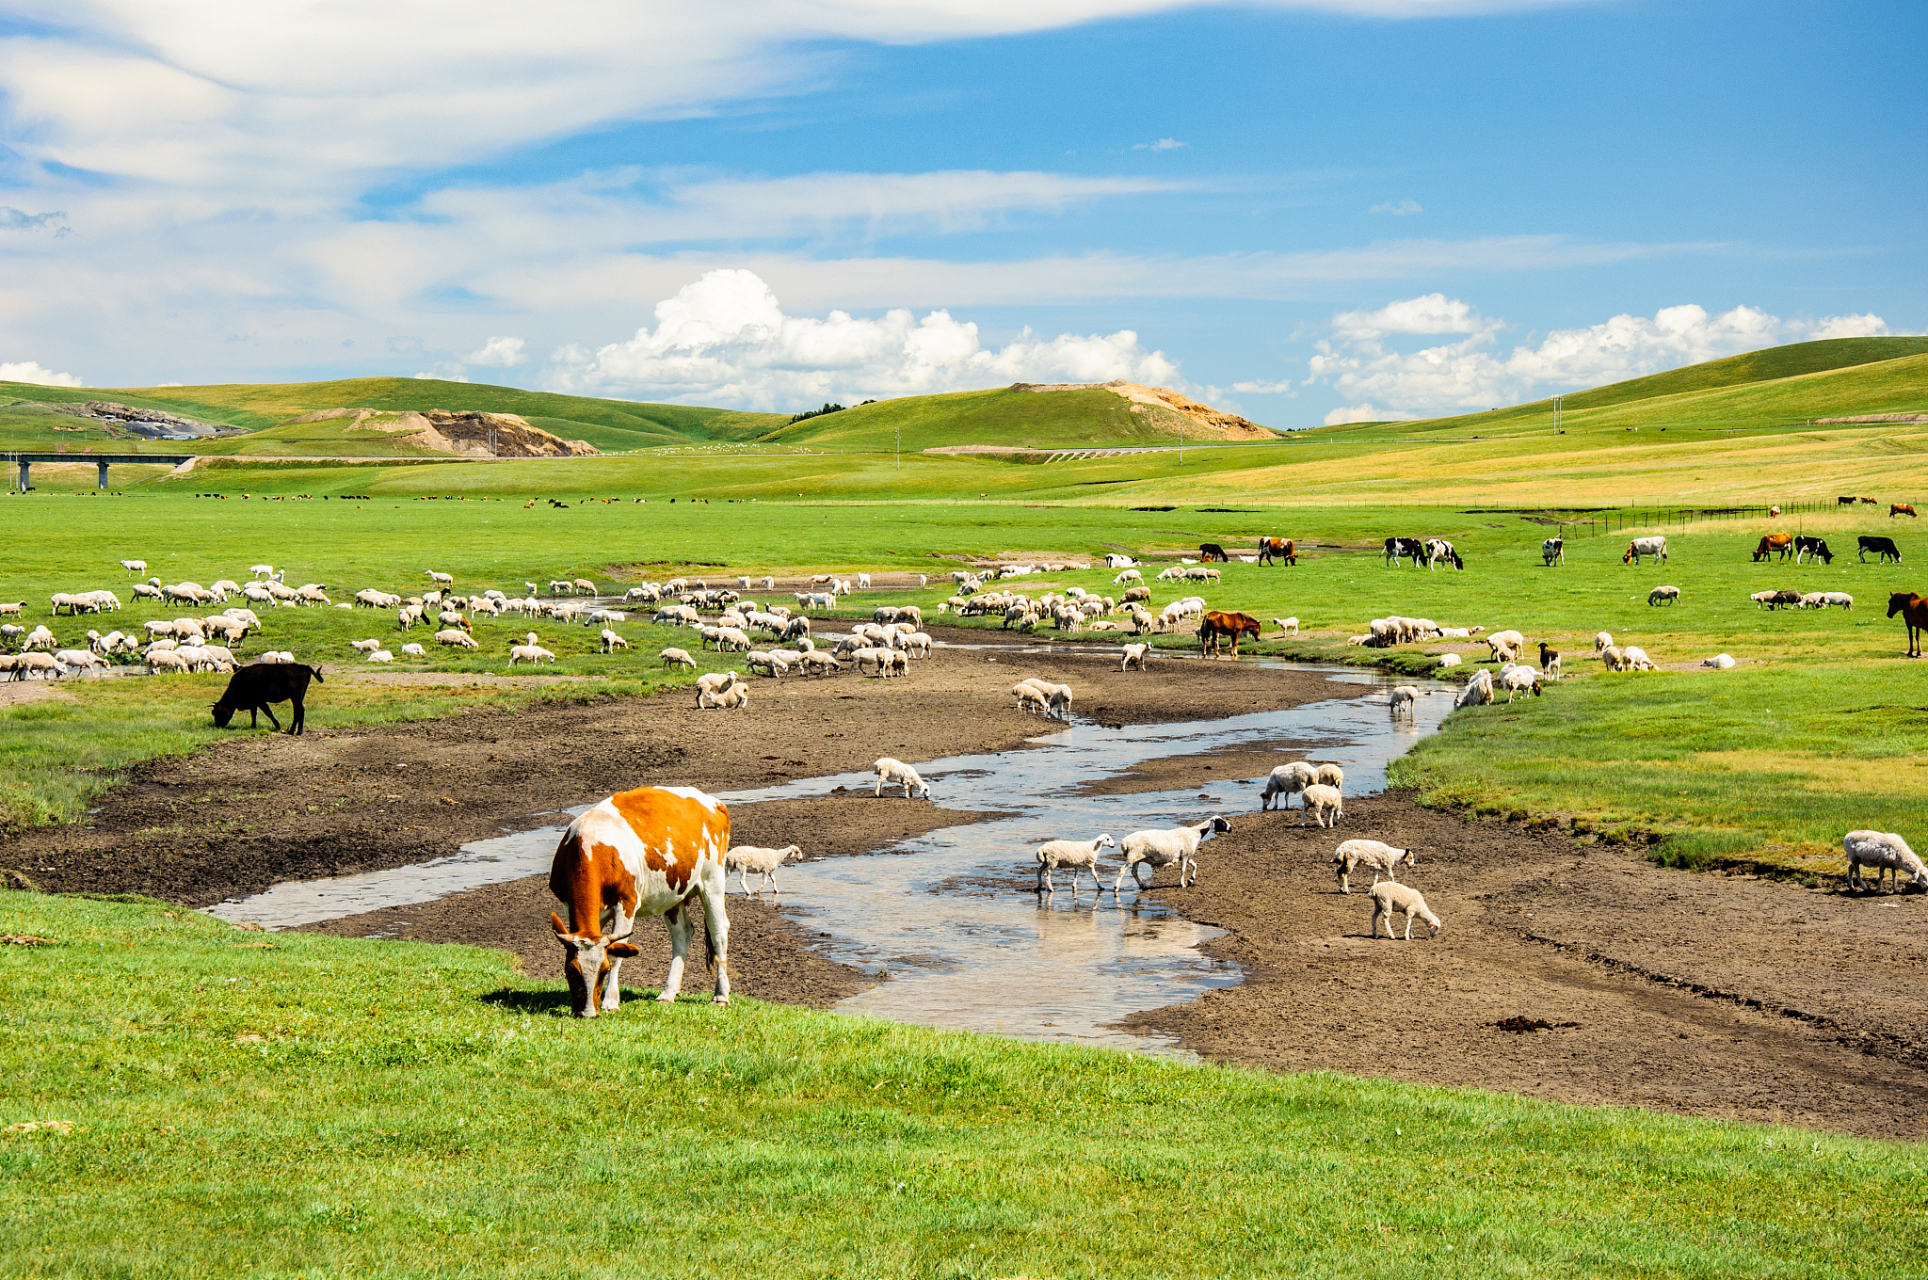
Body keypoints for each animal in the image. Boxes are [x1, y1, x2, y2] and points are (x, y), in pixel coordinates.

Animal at [551, 786, 728, 1017]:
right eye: (571, 971)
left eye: (604, 971)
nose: (589, 1012)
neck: (589, 844)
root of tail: (713, 801)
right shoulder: (570, 906)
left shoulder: (627, 903)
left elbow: (617, 953)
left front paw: (610, 1002)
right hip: (674, 893)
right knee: (683, 933)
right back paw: (668, 993)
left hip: (713, 881)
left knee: (719, 933)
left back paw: (721, 996)